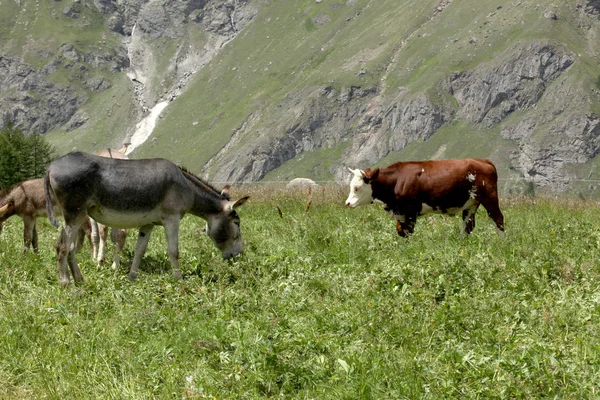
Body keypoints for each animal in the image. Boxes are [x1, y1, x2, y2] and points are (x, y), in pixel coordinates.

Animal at [344, 159, 504, 236]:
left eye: (357, 188)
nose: (347, 203)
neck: (397, 179)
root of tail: (482, 160)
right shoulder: (401, 212)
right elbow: (400, 230)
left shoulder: (410, 211)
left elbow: (406, 231)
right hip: (471, 203)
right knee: (468, 225)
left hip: (490, 198)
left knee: (498, 219)